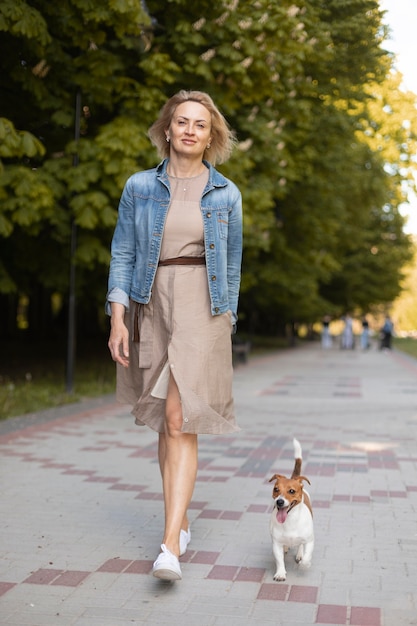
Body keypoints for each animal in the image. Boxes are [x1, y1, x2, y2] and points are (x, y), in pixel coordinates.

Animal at [268, 436, 314, 576]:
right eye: (276, 489)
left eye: (292, 491)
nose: (279, 502)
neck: (290, 521)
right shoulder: (276, 543)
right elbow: (279, 560)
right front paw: (280, 574)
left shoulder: (310, 540)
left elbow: (307, 555)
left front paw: (305, 563)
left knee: (300, 546)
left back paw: (299, 554)